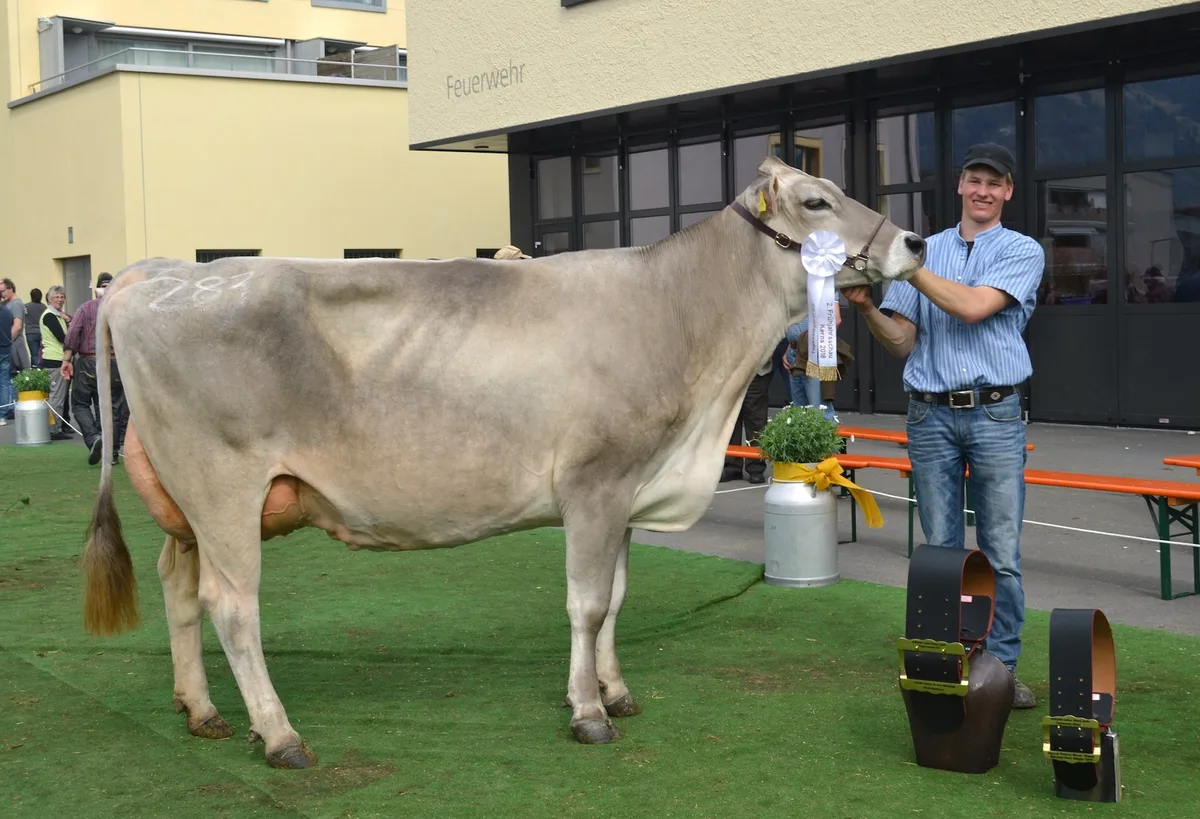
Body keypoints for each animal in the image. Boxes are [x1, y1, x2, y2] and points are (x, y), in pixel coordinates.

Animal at [80, 157, 926, 768]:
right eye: (817, 202)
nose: (914, 243)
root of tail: (154, 274)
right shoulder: (593, 482)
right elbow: (587, 603)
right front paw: (587, 712)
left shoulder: (627, 488)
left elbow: (616, 598)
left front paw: (615, 689)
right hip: (222, 484)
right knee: (231, 604)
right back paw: (280, 733)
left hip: (189, 500)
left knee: (178, 584)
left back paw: (202, 709)